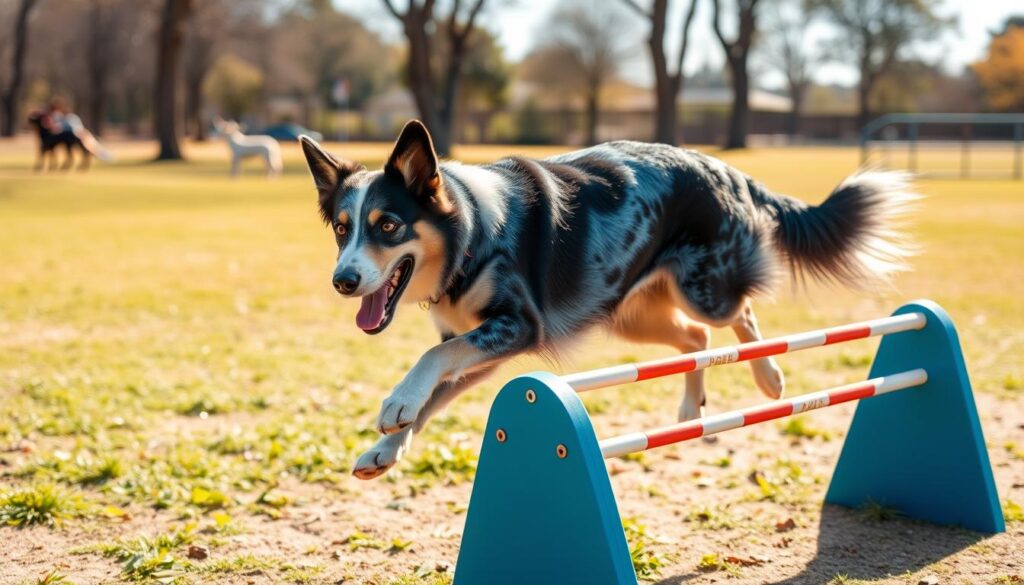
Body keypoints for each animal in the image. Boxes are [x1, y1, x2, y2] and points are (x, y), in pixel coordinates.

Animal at [299, 120, 917, 481]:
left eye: (388, 225)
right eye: (342, 229)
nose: (342, 281)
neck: (468, 234)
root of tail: (725, 167)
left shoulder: (517, 327)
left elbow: (428, 365)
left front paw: (395, 407)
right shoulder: (485, 348)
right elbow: (434, 394)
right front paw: (385, 450)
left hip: (703, 290)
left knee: (739, 314)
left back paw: (769, 379)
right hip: (631, 316)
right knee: (697, 339)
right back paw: (691, 410)